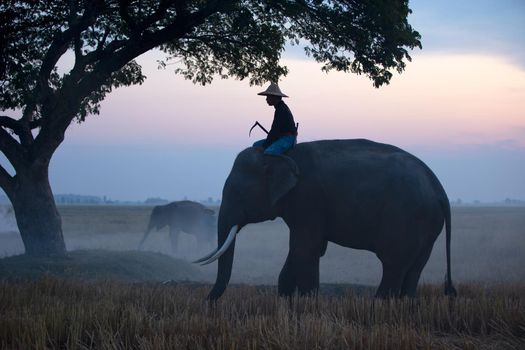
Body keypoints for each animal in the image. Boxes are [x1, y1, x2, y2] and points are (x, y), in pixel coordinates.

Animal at [194, 139, 456, 300]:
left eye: (238, 194)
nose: (207, 303)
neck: (281, 154)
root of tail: (439, 187)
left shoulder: (308, 199)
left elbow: (304, 249)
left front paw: (306, 305)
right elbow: (306, 249)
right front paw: (286, 302)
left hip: (406, 217)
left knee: (394, 264)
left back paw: (378, 307)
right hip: (428, 224)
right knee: (414, 268)